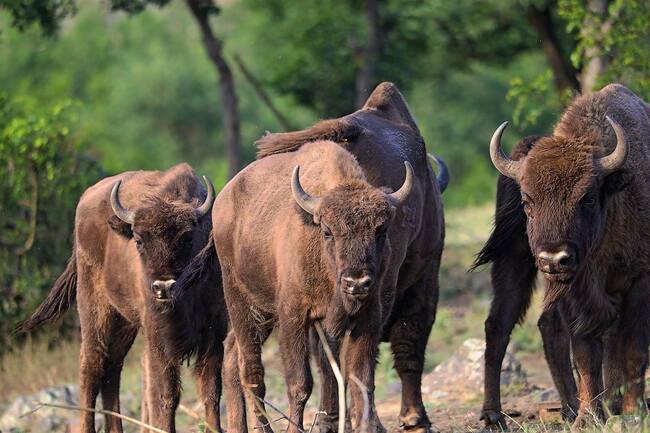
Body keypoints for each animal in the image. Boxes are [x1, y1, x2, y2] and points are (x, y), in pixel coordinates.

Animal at [17, 163, 227, 432]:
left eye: (187, 238)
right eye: (139, 240)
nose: (163, 287)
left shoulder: (214, 335)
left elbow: (211, 393)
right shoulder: (157, 340)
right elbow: (168, 395)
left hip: (123, 323)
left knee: (112, 369)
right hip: (94, 311)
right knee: (91, 366)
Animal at [177, 82, 448, 432]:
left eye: (381, 230)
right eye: (327, 231)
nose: (357, 281)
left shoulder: (357, 315)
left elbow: (353, 373)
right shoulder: (298, 313)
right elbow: (306, 379)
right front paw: (413, 419)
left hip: (261, 308)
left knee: (235, 355)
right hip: (242, 301)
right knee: (252, 369)